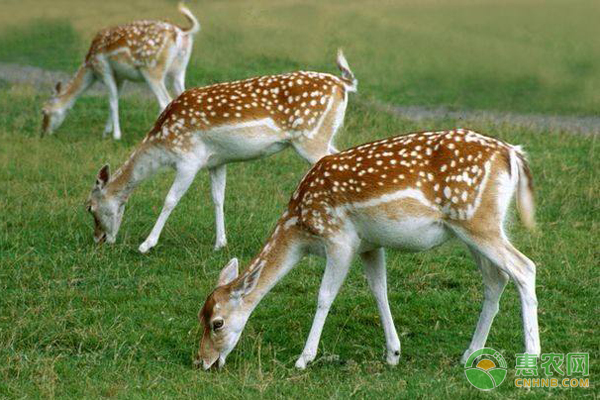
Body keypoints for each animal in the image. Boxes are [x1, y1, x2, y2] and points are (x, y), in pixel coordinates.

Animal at [42, 3, 202, 140]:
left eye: (44, 110)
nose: (43, 132)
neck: (90, 67)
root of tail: (182, 32)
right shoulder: (121, 77)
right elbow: (115, 99)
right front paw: (105, 133)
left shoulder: (103, 69)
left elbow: (112, 101)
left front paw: (116, 136)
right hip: (179, 69)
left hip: (152, 69)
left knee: (164, 100)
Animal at [84, 48, 356, 252]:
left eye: (89, 207)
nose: (98, 239)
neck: (162, 143)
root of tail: (343, 84)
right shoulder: (216, 162)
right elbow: (217, 198)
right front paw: (220, 243)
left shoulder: (189, 159)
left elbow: (170, 199)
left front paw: (146, 244)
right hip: (321, 136)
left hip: (310, 138)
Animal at [196, 130, 540, 370]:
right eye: (200, 315)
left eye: (217, 323)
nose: (202, 361)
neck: (299, 227)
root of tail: (512, 154)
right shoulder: (370, 245)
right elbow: (379, 290)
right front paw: (393, 353)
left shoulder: (339, 239)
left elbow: (324, 296)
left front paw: (303, 359)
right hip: (475, 229)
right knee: (496, 279)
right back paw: (469, 354)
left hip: (478, 222)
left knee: (524, 267)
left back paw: (531, 354)